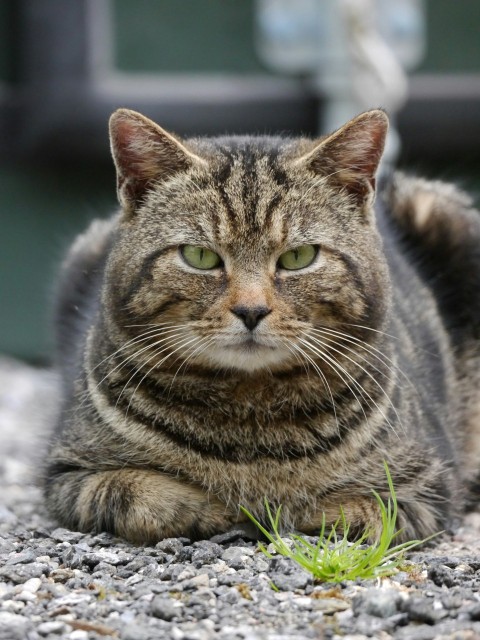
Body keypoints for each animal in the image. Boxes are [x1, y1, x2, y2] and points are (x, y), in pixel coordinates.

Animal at [44, 107, 480, 544]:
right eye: (200, 256)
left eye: (299, 257)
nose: (251, 311)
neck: (251, 421)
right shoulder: (70, 471)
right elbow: (136, 495)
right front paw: (217, 509)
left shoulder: (427, 486)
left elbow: (359, 510)